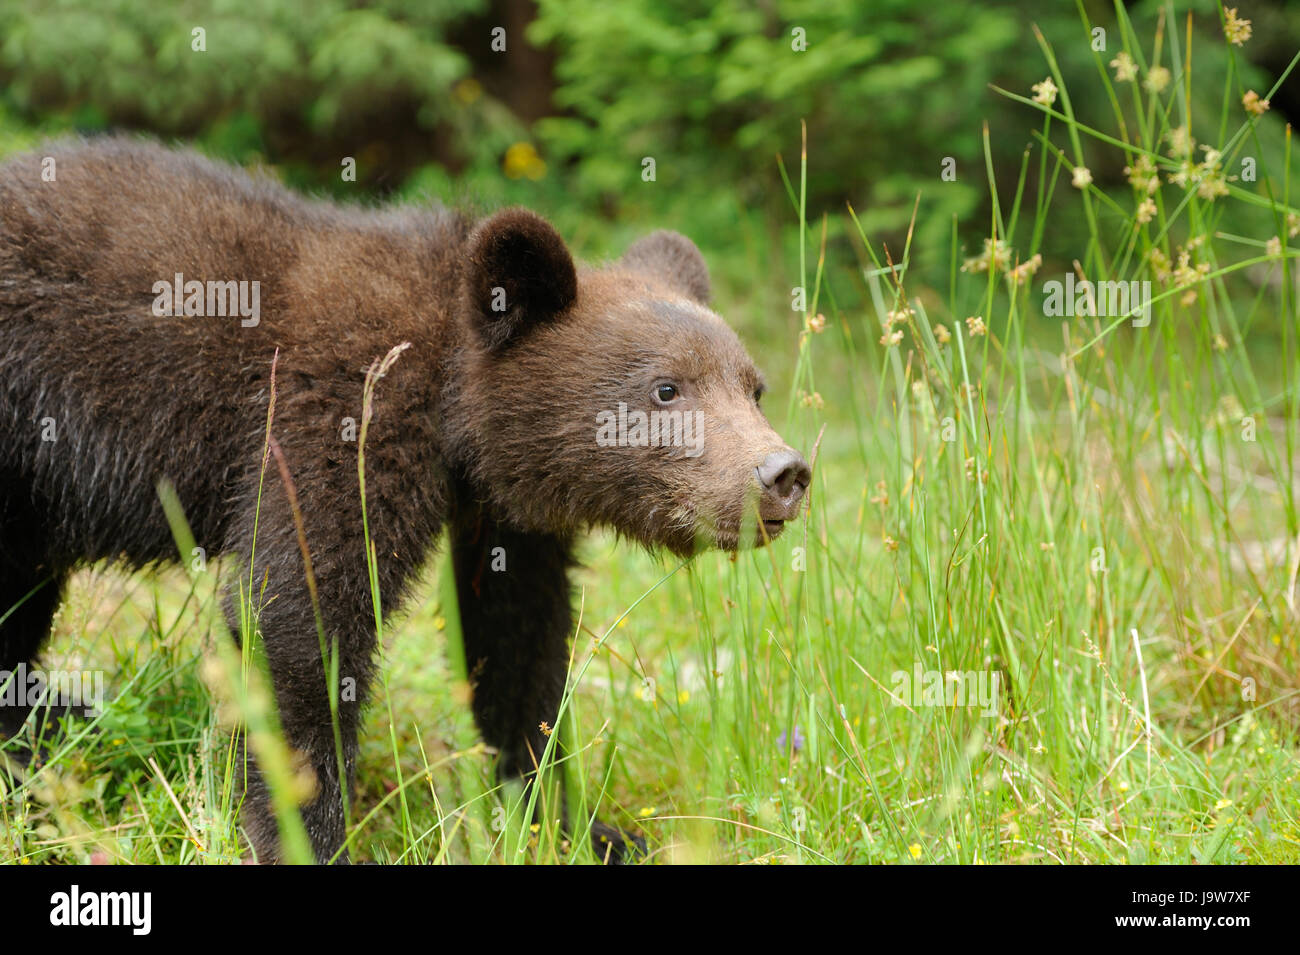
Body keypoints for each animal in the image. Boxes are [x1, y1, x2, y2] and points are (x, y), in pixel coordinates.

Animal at [0, 137, 811, 863]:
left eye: (753, 385)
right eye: (667, 387)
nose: (784, 473)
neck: (451, 402)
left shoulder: (505, 514)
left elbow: (520, 643)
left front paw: (577, 823)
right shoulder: (338, 414)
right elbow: (299, 617)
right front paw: (303, 834)